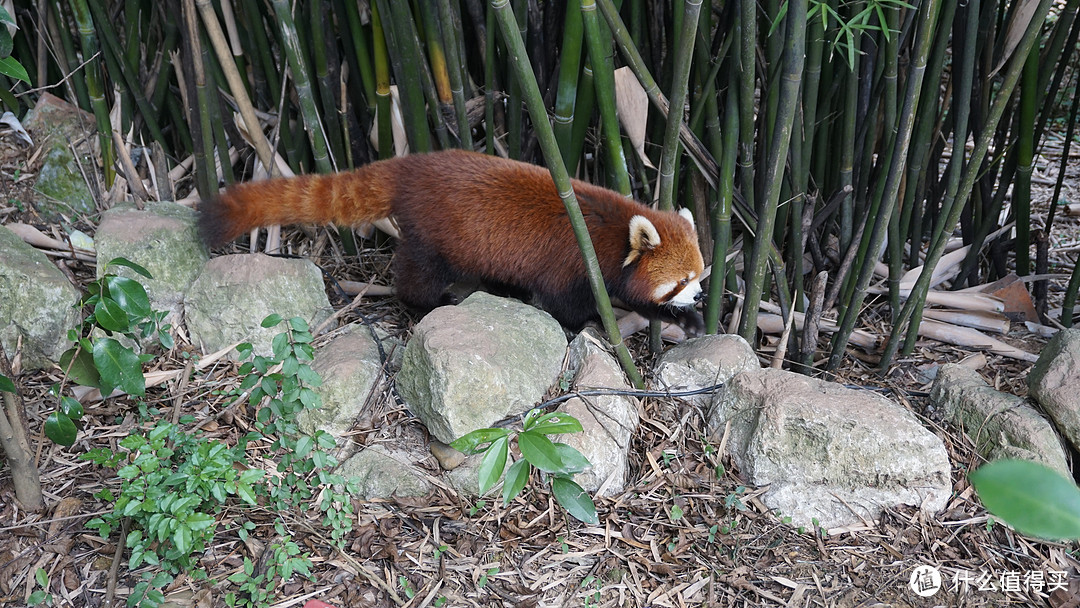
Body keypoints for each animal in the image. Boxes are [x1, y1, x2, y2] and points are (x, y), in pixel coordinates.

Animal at [199, 150, 708, 334]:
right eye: (681, 280)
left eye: (698, 275)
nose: (702, 294)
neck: (613, 234)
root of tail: (411, 165)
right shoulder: (576, 266)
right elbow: (568, 305)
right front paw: (591, 324)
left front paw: (687, 320)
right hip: (437, 236)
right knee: (419, 275)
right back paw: (429, 302)